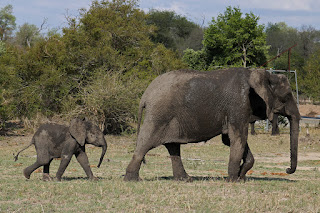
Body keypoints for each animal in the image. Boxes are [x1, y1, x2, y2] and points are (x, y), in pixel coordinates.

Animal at [124, 68, 300, 181]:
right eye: (287, 96)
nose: (287, 170)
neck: (263, 75)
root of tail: (145, 95)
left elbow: (231, 140)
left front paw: (241, 177)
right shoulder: (238, 104)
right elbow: (238, 138)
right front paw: (233, 180)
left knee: (173, 146)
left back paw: (185, 179)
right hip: (159, 114)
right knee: (146, 143)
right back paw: (132, 180)